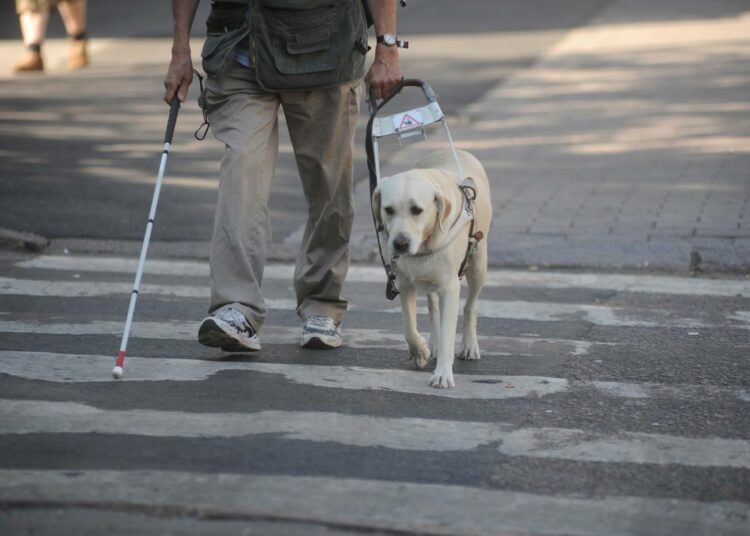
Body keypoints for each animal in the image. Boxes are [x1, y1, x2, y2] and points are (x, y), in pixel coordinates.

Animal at [372, 149, 494, 388]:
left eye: (417, 210)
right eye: (388, 210)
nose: (400, 243)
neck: (424, 245)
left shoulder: (450, 288)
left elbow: (449, 334)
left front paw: (443, 374)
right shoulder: (404, 284)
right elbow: (409, 326)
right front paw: (420, 351)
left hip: (478, 264)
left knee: (470, 306)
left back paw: (469, 345)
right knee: (433, 307)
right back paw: (434, 343)